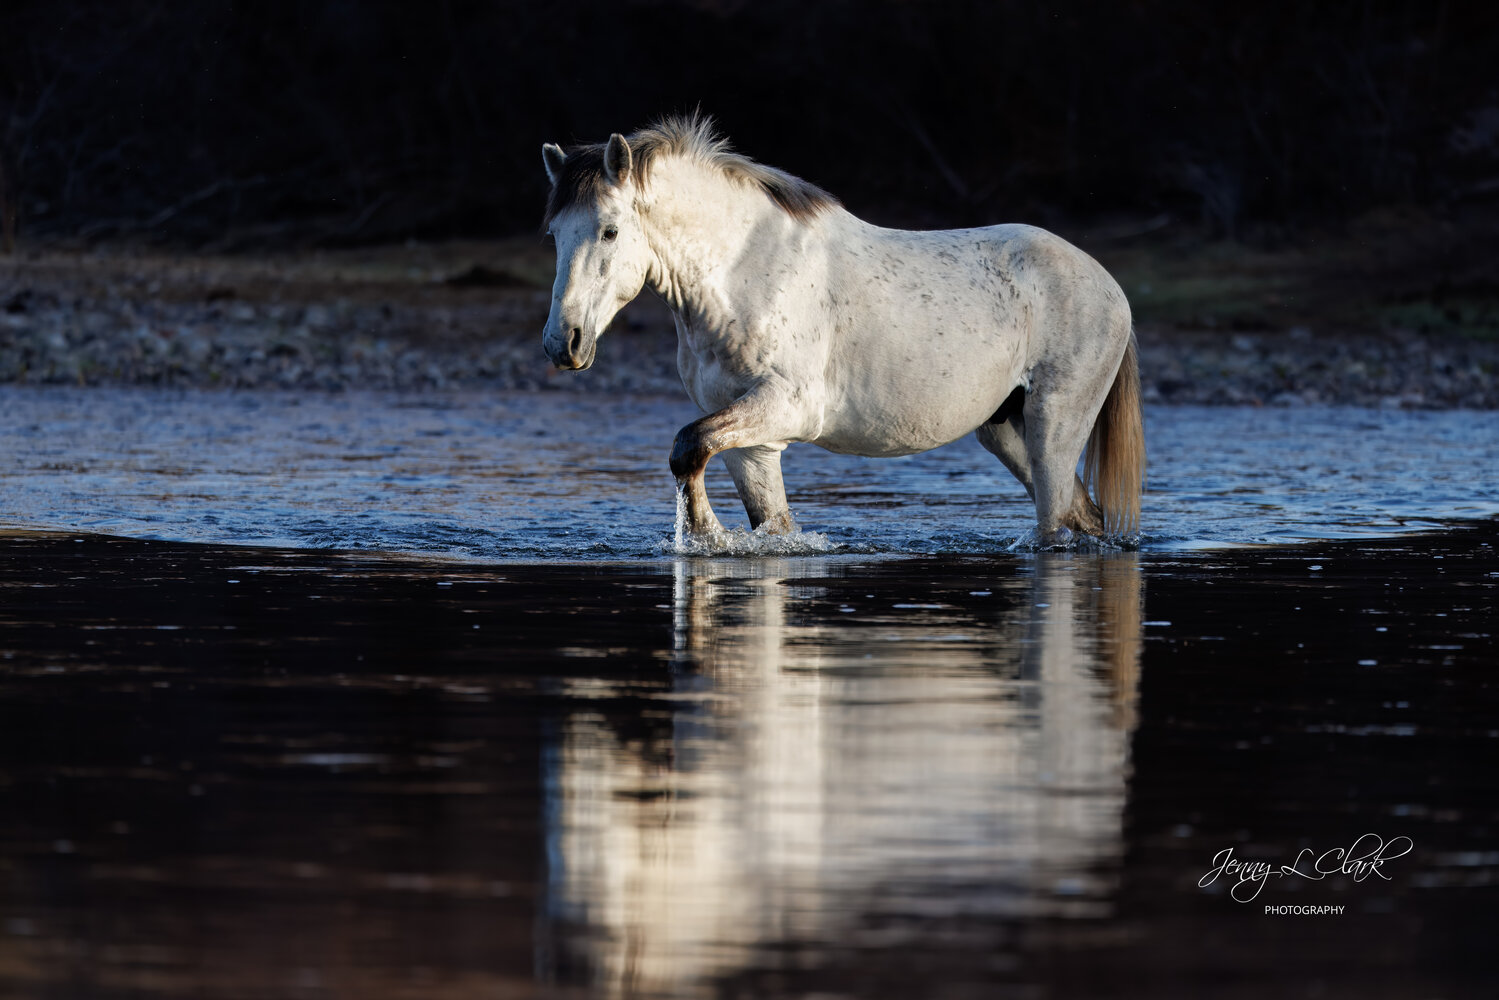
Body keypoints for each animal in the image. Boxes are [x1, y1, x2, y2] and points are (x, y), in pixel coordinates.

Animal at [539, 115, 1144, 546]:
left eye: (610, 230)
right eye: (553, 235)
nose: (562, 342)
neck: (744, 272)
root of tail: (1110, 287)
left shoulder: (788, 407)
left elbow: (687, 448)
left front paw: (706, 535)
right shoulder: (751, 443)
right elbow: (760, 515)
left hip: (1053, 426)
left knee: (1054, 523)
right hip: (1004, 429)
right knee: (1083, 515)